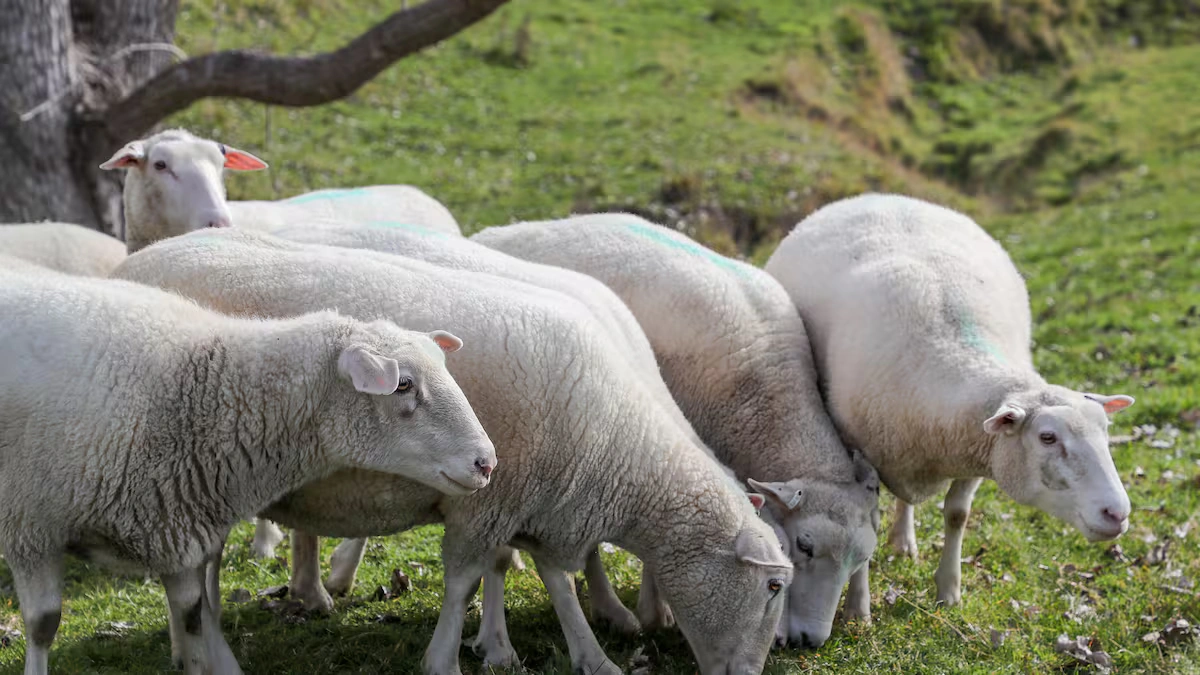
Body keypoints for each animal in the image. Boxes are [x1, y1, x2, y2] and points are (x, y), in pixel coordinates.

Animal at [0, 268, 496, 675]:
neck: (202, 390)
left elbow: (192, 616)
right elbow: (43, 624)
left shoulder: (173, 526)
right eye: (404, 384)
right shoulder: (29, 526)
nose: (487, 462)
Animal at [112, 228, 793, 675]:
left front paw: (589, 654)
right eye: (773, 587)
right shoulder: (492, 499)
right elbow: (466, 579)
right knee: (201, 570)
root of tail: (130, 264)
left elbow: (552, 581)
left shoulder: (539, 497)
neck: (620, 450)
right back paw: (206, 648)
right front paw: (452, 656)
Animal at [473, 213, 881, 647]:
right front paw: (656, 612)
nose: (810, 640)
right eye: (805, 546)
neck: (764, 389)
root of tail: (492, 232)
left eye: (862, 559)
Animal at [764, 193, 1135, 608]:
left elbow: (957, 514)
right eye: (1047, 437)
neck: (953, 350)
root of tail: (877, 196)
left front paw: (949, 591)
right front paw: (858, 607)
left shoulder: (978, 447)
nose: (1118, 513)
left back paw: (903, 541)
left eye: (1106, 431)